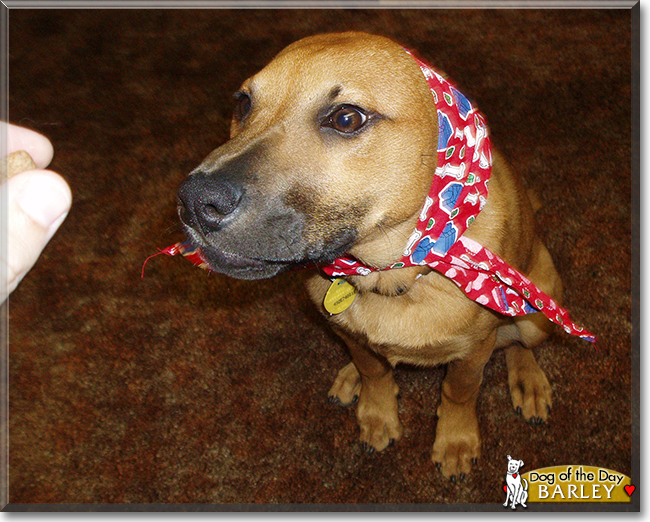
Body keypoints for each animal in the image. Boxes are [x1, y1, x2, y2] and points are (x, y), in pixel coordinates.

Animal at [177, 32, 560, 480]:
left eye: (346, 118)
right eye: (242, 103)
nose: (193, 203)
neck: (394, 273)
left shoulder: (473, 351)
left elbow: (459, 392)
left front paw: (455, 439)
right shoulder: (347, 332)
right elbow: (373, 368)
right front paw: (376, 411)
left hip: (537, 312)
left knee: (520, 343)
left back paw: (528, 378)